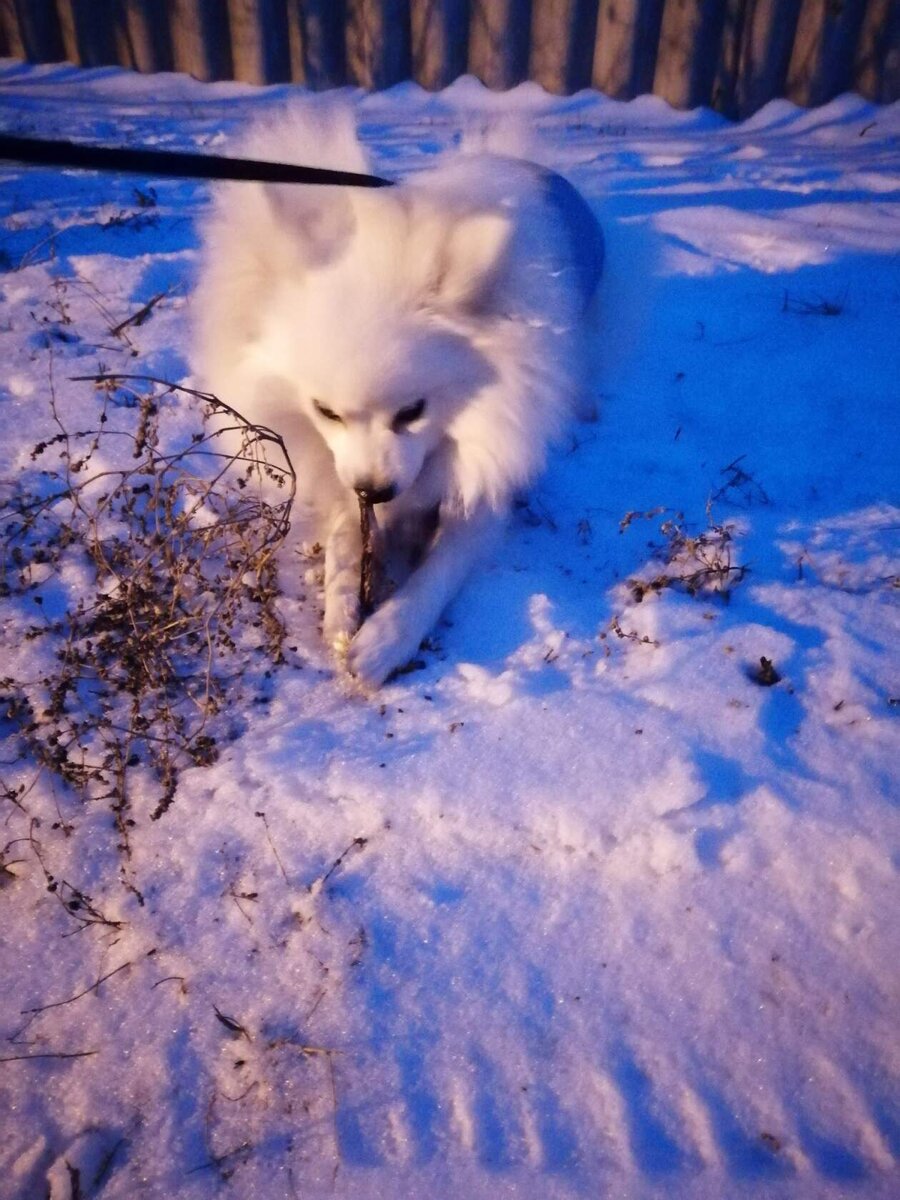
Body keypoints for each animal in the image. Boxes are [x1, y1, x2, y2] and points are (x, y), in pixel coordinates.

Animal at [199, 108, 607, 691]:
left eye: (414, 412)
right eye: (326, 412)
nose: (375, 489)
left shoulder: (485, 488)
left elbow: (439, 572)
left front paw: (386, 640)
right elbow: (345, 541)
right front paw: (341, 609)